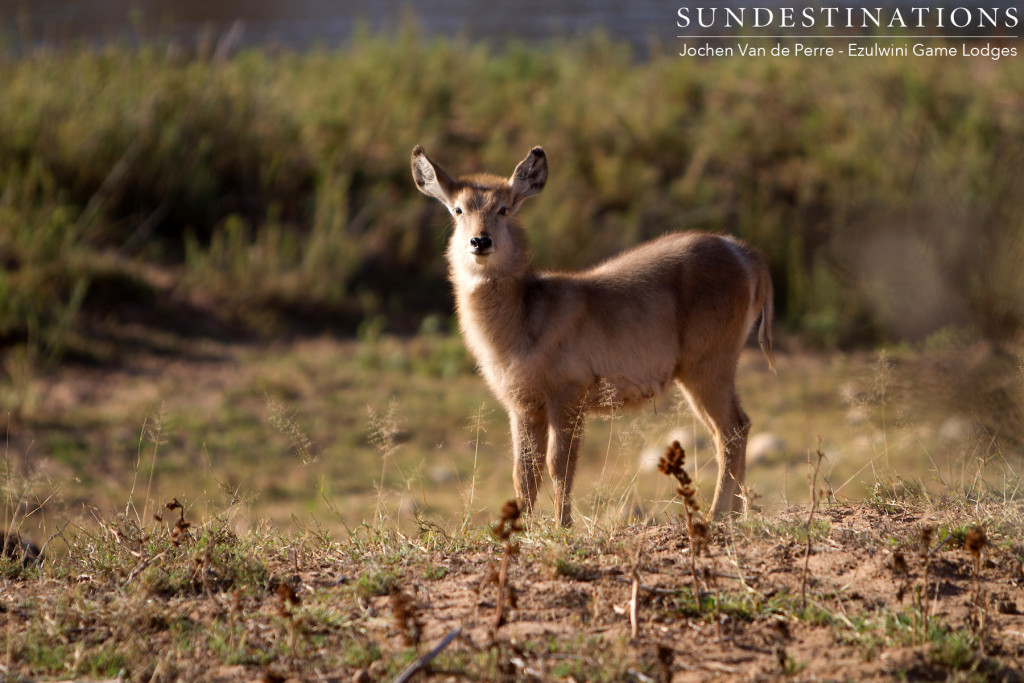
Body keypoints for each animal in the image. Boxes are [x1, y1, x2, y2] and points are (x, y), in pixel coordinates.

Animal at [411, 147, 770, 528]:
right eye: (458, 209)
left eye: (504, 208)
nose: (480, 241)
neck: (524, 320)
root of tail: (749, 256)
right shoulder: (521, 403)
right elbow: (524, 471)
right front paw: (518, 529)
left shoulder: (569, 392)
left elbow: (560, 465)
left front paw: (562, 526)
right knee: (736, 427)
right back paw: (736, 514)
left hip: (707, 363)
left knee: (731, 430)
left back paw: (717, 515)